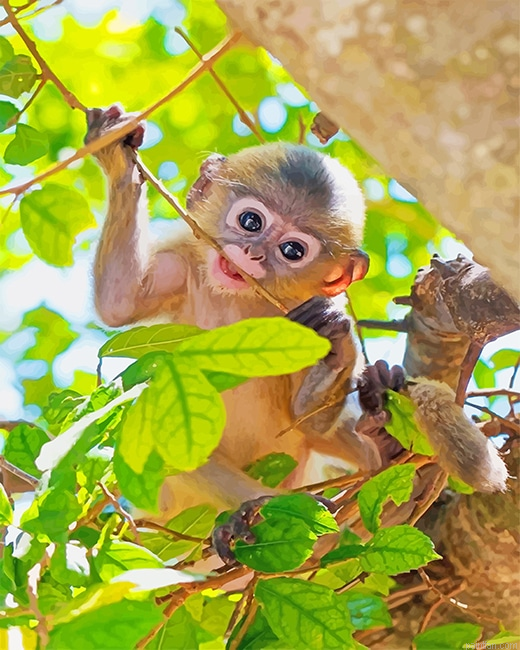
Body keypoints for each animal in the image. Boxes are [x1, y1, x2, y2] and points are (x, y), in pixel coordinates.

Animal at [86, 105, 508, 562]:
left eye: (292, 250)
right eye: (250, 221)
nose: (252, 254)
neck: (239, 302)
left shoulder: (301, 316)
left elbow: (308, 420)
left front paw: (336, 348)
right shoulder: (183, 262)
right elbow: (119, 301)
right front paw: (116, 154)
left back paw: (379, 436)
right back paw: (256, 507)